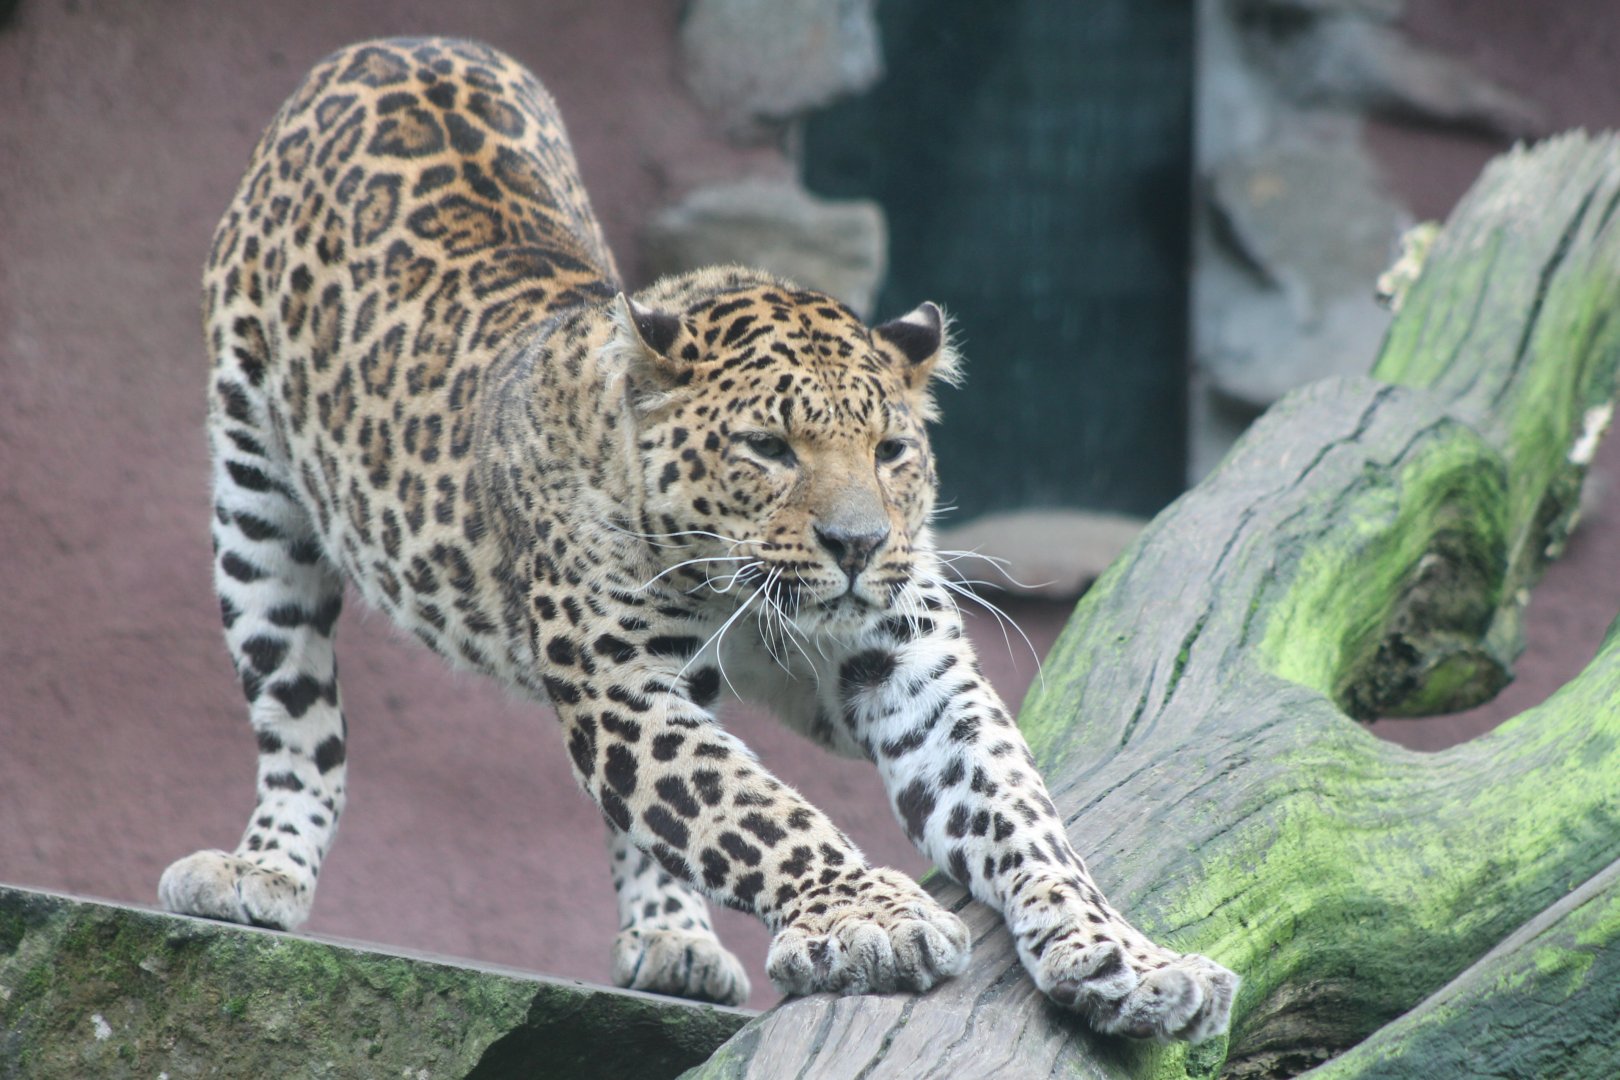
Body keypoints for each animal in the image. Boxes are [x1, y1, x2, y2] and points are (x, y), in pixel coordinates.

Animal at [159, 36, 1238, 1042]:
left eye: (891, 449)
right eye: (769, 447)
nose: (857, 545)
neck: (739, 588)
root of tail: (400, 43)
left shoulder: (912, 671)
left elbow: (1023, 818)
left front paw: (1128, 955)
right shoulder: (623, 684)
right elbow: (752, 809)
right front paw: (867, 916)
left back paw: (672, 937)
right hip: (254, 504)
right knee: (299, 719)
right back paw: (261, 868)